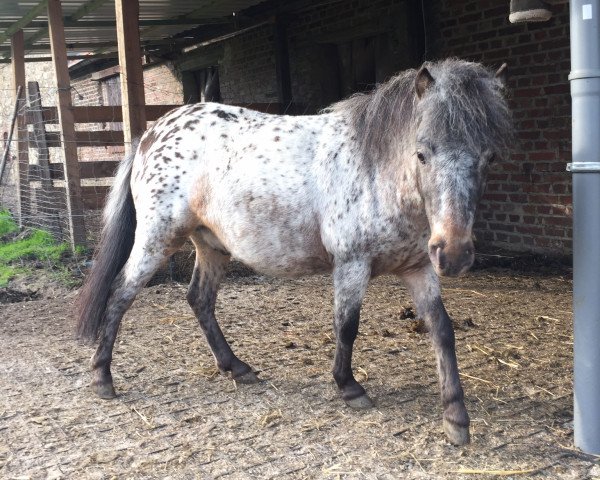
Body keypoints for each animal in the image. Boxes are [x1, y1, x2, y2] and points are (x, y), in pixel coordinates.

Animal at [77, 58, 512, 444]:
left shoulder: (419, 267)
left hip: (212, 245)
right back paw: (102, 377)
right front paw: (349, 387)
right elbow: (347, 326)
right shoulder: (352, 264)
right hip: (157, 238)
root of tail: (152, 133)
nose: (453, 253)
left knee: (199, 299)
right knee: (121, 294)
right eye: (422, 153)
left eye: (489, 157)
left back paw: (237, 368)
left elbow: (442, 330)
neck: (378, 171)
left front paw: (456, 418)